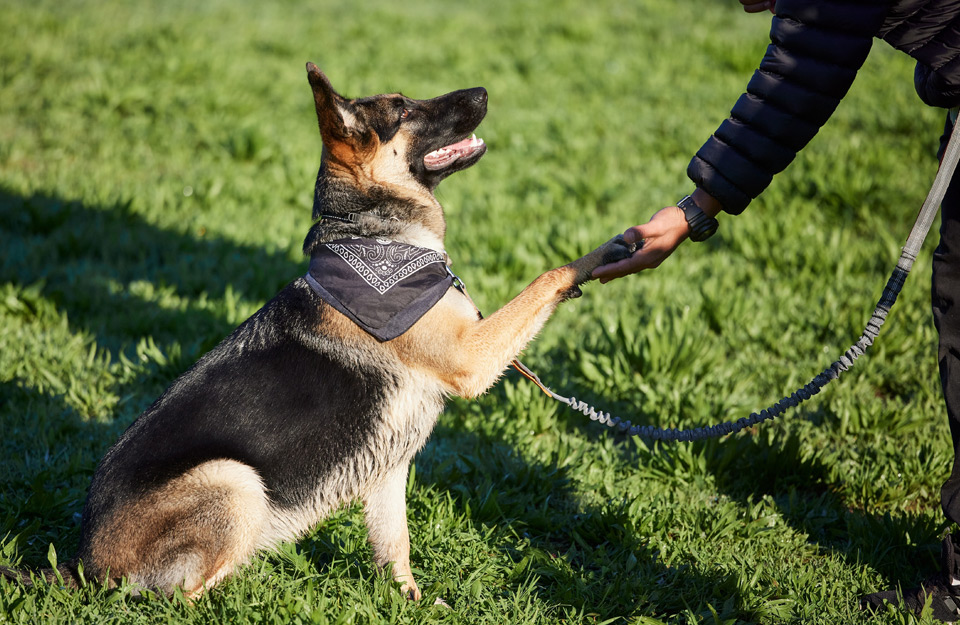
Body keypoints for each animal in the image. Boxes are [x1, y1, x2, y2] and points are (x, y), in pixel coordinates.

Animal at [1, 63, 636, 600]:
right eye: (404, 109)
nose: (482, 90)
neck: (371, 233)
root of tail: (82, 566)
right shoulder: (470, 357)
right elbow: (549, 274)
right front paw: (607, 252)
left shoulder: (389, 467)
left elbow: (394, 545)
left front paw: (407, 601)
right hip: (234, 480)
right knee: (180, 597)